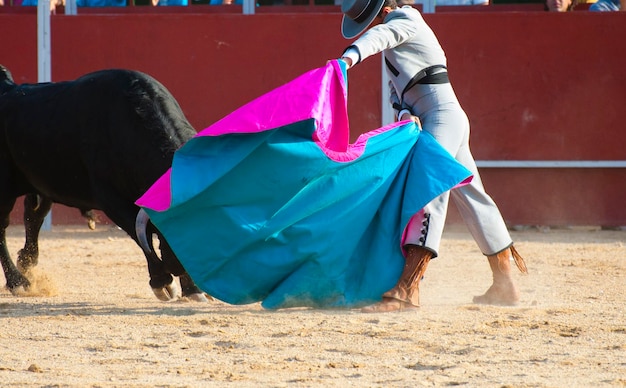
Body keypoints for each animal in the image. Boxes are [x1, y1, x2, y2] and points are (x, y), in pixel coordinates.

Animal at [0, 65, 210, 302]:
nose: (180, 266)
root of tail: (6, 87)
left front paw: (193, 290)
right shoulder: (110, 198)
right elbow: (139, 233)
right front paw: (162, 281)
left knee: (34, 216)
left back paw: (26, 262)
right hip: (4, 188)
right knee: (3, 226)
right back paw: (18, 281)